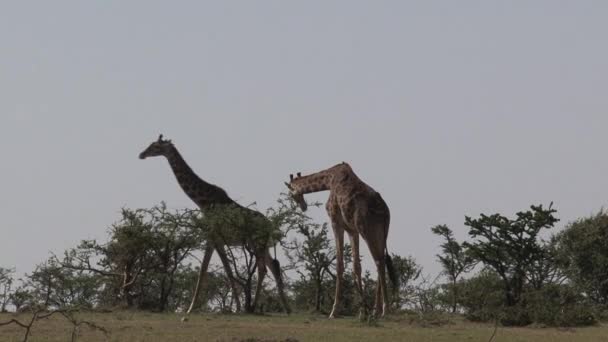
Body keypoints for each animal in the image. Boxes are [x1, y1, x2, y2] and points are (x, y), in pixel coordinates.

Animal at [139, 134, 290, 318]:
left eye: (155, 146)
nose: (141, 154)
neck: (202, 201)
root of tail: (272, 228)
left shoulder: (213, 236)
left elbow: (215, 270)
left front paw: (230, 308)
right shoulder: (215, 239)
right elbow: (219, 270)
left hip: (258, 244)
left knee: (264, 268)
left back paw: (257, 306)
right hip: (263, 246)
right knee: (273, 266)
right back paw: (283, 308)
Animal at [284, 162, 400, 318]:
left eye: (291, 193)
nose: (303, 207)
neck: (329, 180)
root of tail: (385, 212)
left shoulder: (335, 222)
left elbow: (340, 265)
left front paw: (334, 311)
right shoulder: (352, 230)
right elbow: (357, 266)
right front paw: (362, 310)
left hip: (367, 230)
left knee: (378, 262)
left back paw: (384, 310)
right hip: (382, 232)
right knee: (380, 260)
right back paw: (376, 310)